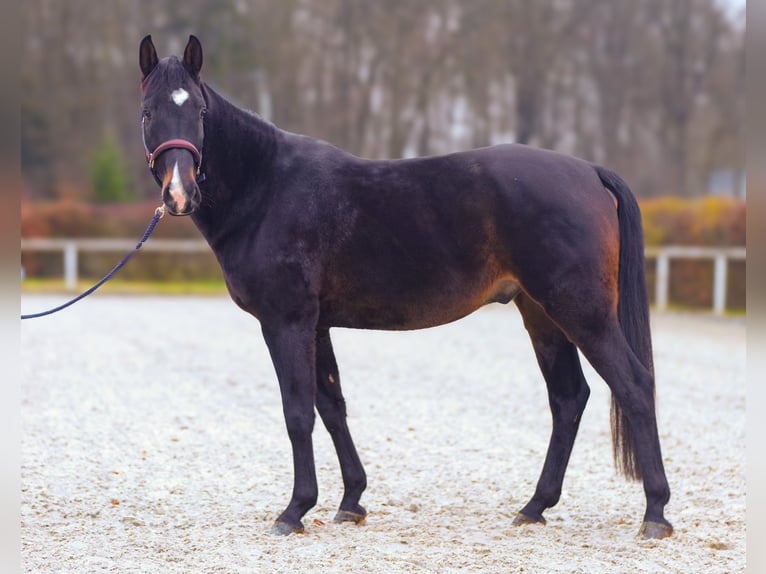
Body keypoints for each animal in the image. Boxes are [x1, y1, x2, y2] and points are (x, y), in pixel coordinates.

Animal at [138, 35, 672, 540]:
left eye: (199, 111)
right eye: (148, 112)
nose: (179, 194)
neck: (268, 188)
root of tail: (588, 172)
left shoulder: (287, 321)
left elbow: (298, 412)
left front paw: (295, 510)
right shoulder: (317, 325)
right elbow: (331, 406)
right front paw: (351, 501)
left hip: (582, 311)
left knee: (634, 385)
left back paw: (655, 512)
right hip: (541, 314)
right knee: (568, 398)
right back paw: (534, 507)